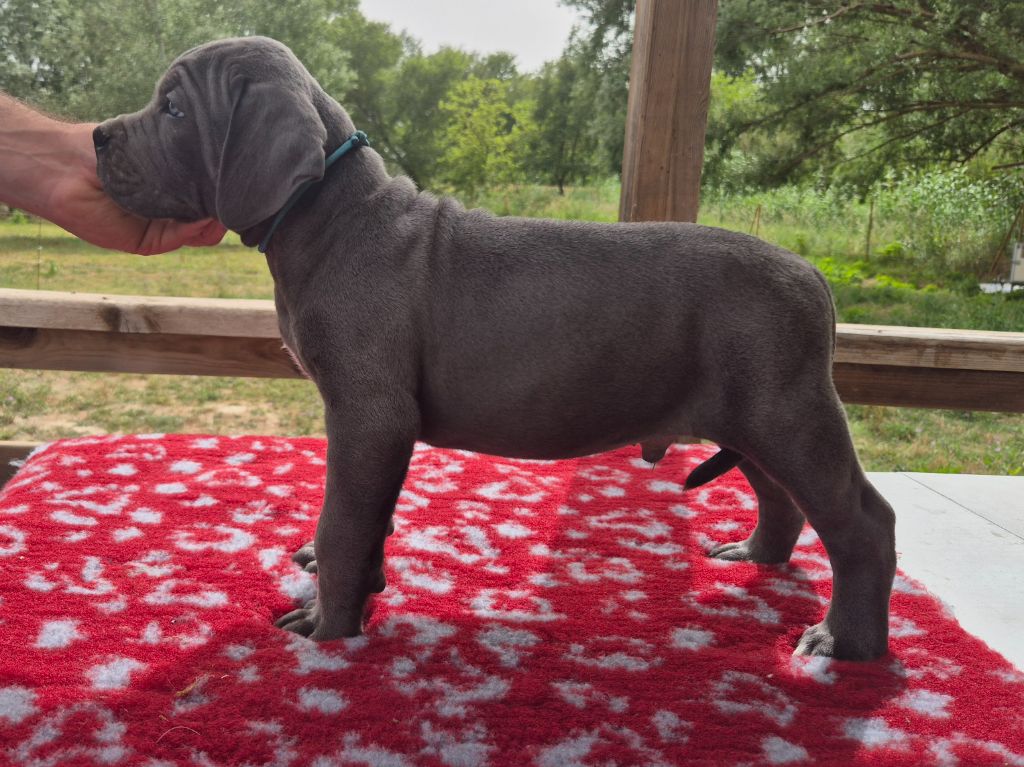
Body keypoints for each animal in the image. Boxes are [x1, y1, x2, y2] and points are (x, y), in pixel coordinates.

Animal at [94, 36, 896, 660]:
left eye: (174, 109)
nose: (98, 134)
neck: (328, 215)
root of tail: (816, 277)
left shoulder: (368, 413)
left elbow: (344, 522)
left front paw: (329, 629)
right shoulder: (375, 427)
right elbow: (368, 520)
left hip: (786, 413)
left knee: (863, 520)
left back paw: (845, 642)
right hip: (749, 417)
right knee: (785, 499)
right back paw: (757, 558)